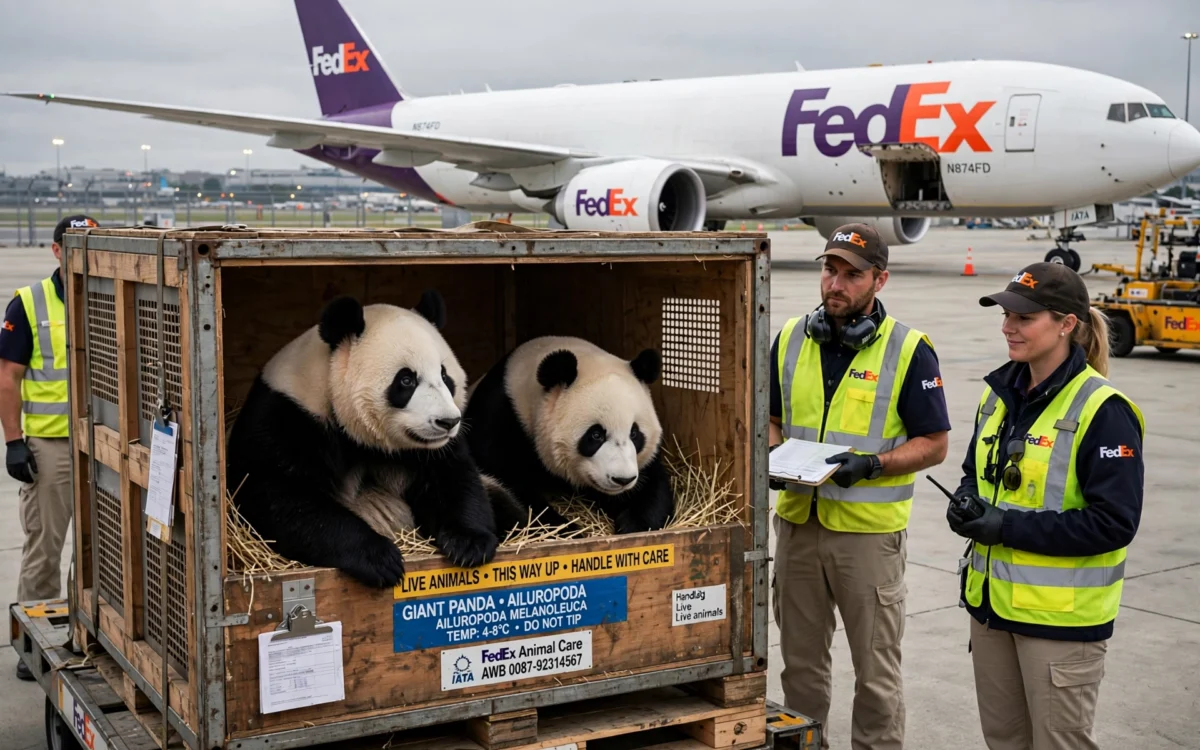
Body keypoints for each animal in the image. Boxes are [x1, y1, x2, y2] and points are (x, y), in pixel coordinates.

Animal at [226, 291, 500, 588]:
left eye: (444, 375)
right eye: (406, 380)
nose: (448, 422)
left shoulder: (430, 451)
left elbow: (453, 479)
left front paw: (469, 544)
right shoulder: (286, 417)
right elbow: (281, 498)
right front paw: (380, 558)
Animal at [463, 335, 675, 535]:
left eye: (634, 433)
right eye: (596, 434)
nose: (622, 480)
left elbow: (652, 486)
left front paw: (635, 526)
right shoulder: (499, 418)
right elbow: (511, 487)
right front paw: (567, 530)